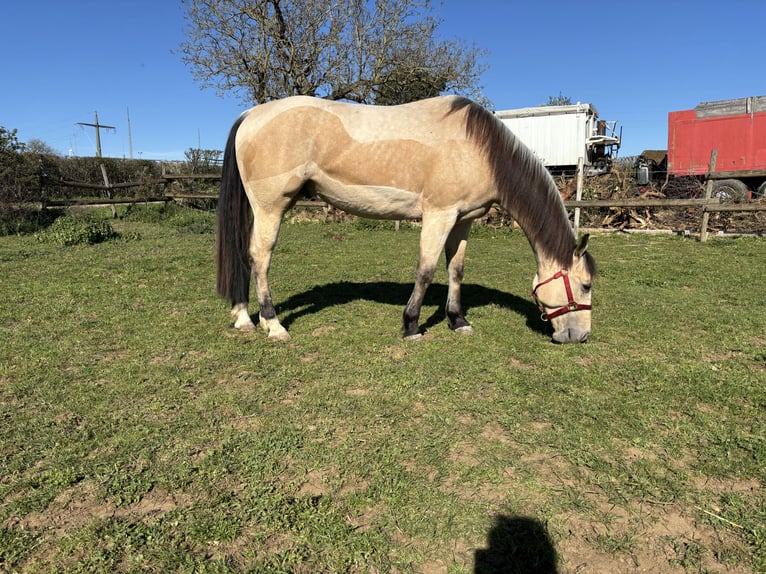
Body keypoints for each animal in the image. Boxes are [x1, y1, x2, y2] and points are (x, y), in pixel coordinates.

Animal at [216, 95, 596, 344]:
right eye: (586, 285)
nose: (580, 336)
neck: (479, 149)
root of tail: (251, 114)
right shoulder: (439, 215)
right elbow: (426, 270)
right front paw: (412, 326)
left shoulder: (463, 220)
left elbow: (455, 270)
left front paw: (457, 321)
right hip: (271, 208)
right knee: (260, 258)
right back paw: (273, 325)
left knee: (245, 255)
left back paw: (243, 318)